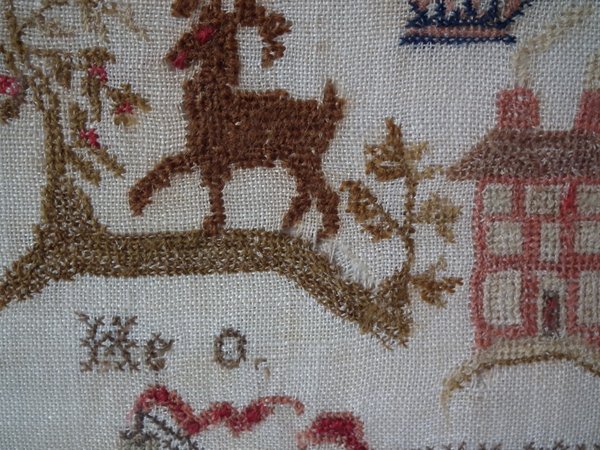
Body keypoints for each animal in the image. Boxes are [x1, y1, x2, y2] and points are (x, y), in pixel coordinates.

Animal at [129, 0, 345, 238]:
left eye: (204, 33)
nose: (174, 56)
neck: (216, 102)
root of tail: (324, 112)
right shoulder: (202, 153)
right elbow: (178, 170)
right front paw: (138, 199)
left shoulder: (208, 154)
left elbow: (198, 181)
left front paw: (213, 224)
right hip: (297, 159)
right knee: (307, 191)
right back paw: (289, 224)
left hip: (304, 157)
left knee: (323, 193)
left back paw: (324, 232)